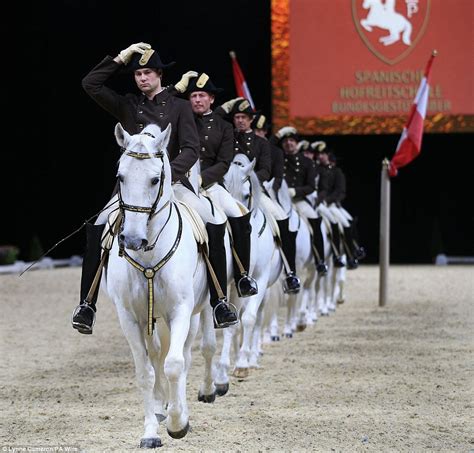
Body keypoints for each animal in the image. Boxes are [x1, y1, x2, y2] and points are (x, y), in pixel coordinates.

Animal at [103, 122, 218, 446]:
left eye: (155, 179)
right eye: (120, 177)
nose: (131, 240)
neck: (150, 252)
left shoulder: (180, 311)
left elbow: (175, 364)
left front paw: (179, 423)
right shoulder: (130, 318)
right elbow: (145, 372)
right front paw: (151, 431)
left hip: (197, 312)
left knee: (192, 353)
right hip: (150, 320)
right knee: (155, 356)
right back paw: (160, 406)